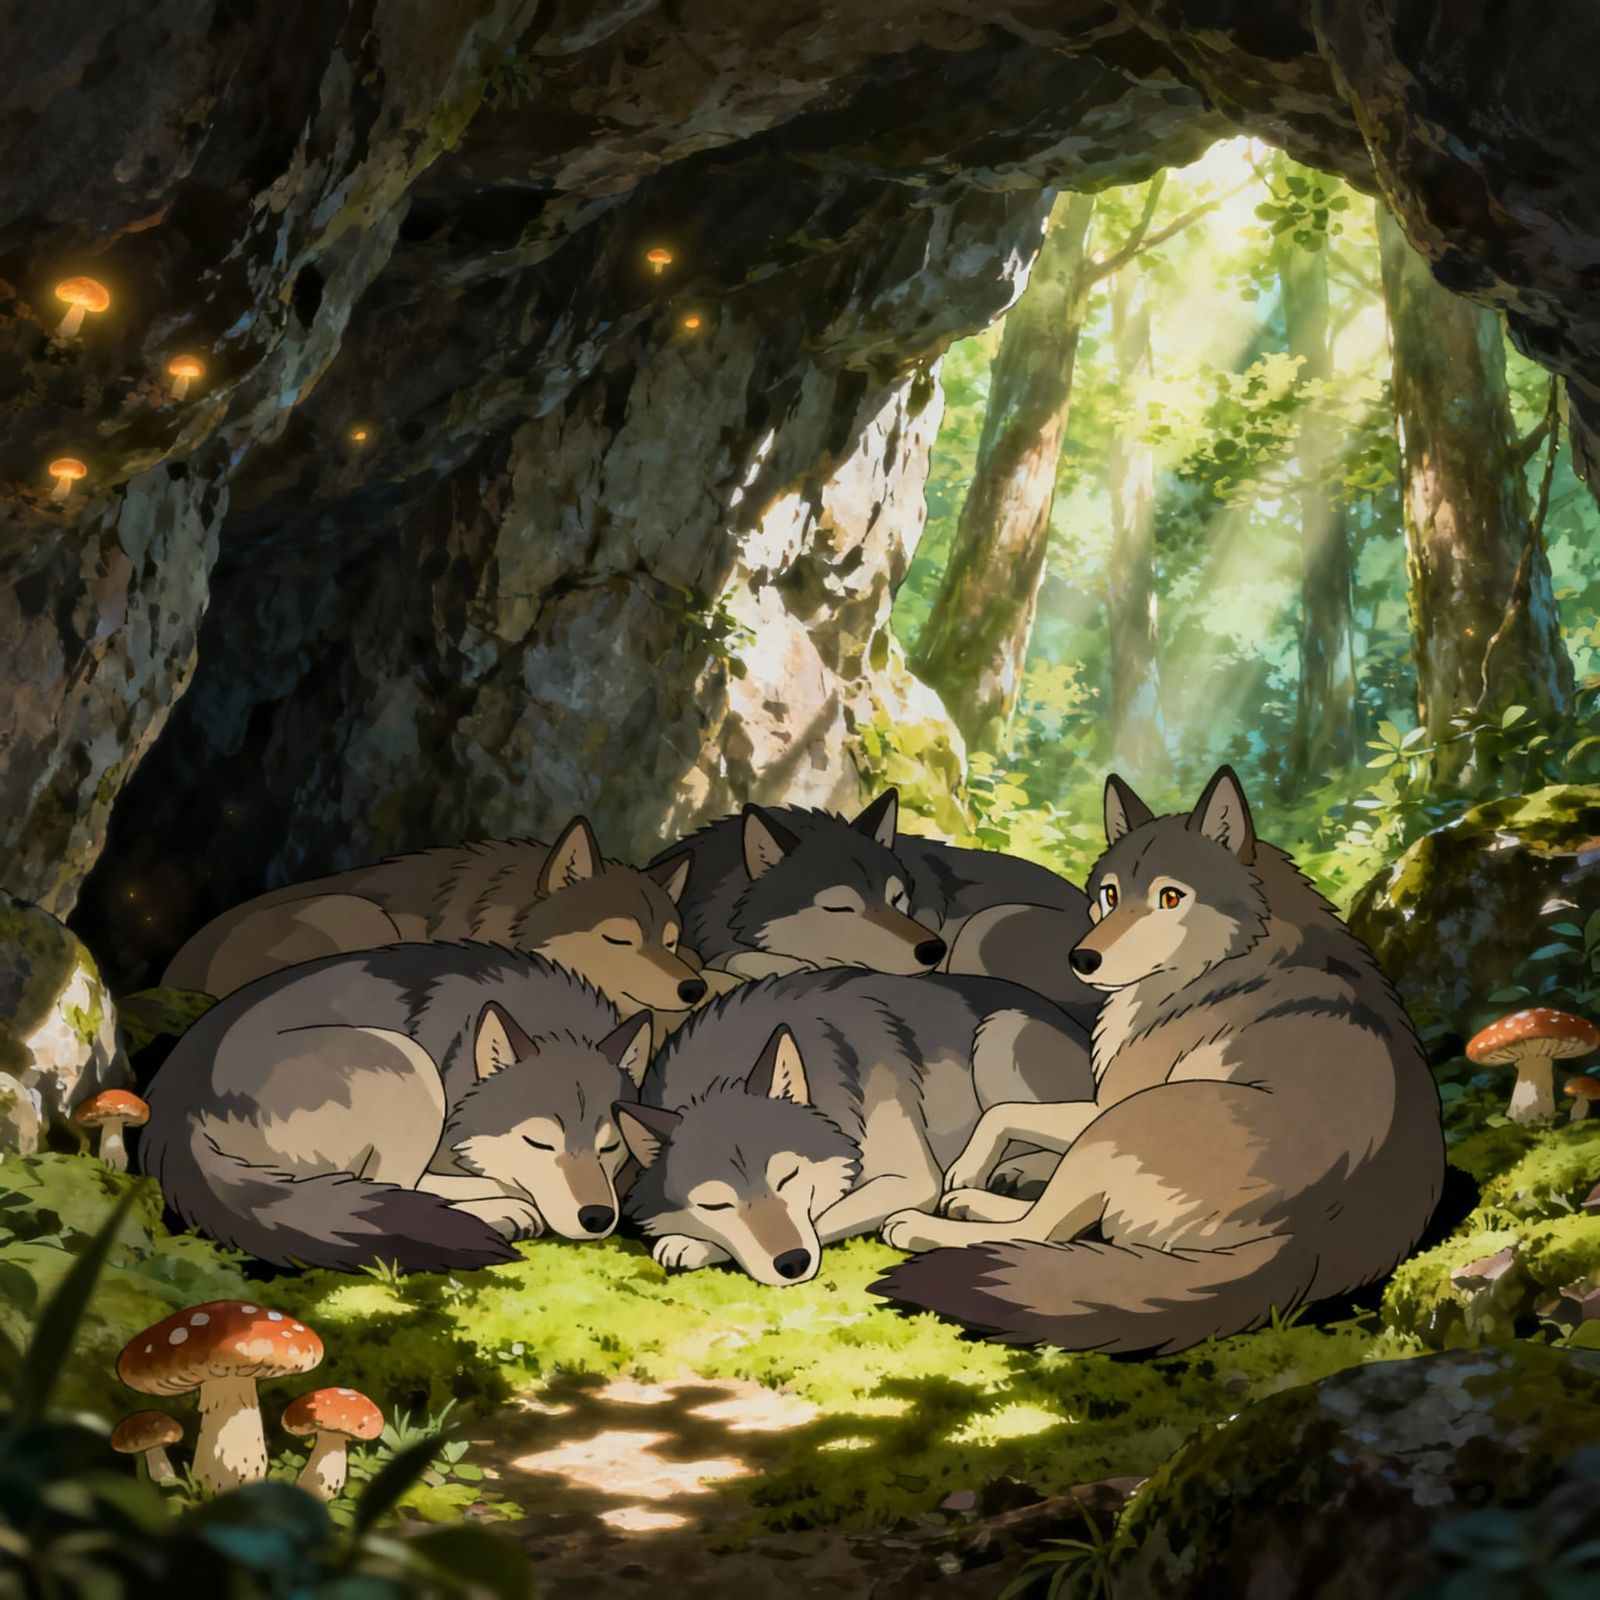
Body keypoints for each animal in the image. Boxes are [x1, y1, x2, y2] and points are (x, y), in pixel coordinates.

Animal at [139, 942, 654, 1272]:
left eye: (610, 1148)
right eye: (539, 1142)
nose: (597, 1218)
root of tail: (175, 1104)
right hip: (405, 1061)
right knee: (392, 1188)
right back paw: (502, 1210)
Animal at [616, 969, 1094, 1286]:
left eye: (788, 1176)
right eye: (715, 1204)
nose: (792, 1264)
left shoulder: (912, 1180)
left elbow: (823, 1216)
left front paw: (697, 1245)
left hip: (998, 1032)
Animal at [871, 766, 1446, 1355]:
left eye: (1170, 897)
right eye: (1109, 894)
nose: (1082, 958)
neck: (1234, 955)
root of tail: (1305, 1242)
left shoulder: (1106, 1104)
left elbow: (1004, 1112)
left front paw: (965, 1168)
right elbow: (1009, 1116)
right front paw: (986, 1169)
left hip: (1122, 1125)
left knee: (1036, 1234)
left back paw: (928, 1221)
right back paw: (973, 1199)